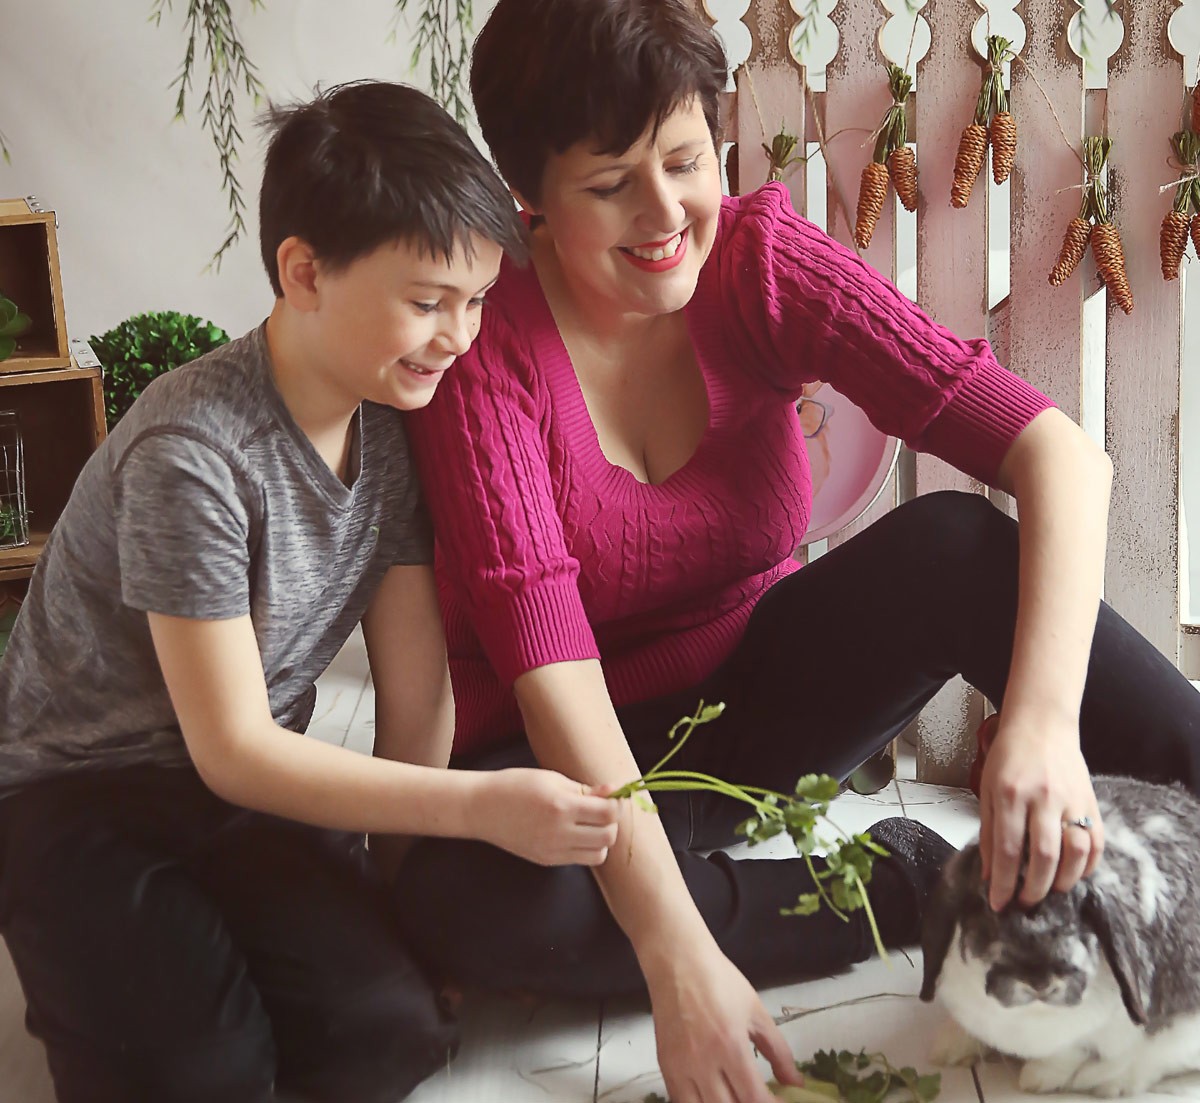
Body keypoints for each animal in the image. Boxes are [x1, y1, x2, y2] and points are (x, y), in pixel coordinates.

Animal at [916, 777, 1200, 1094]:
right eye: (986, 907)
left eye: (1081, 911)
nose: (1040, 981)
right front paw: (948, 1049)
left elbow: (1070, 1055)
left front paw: (1036, 1079)